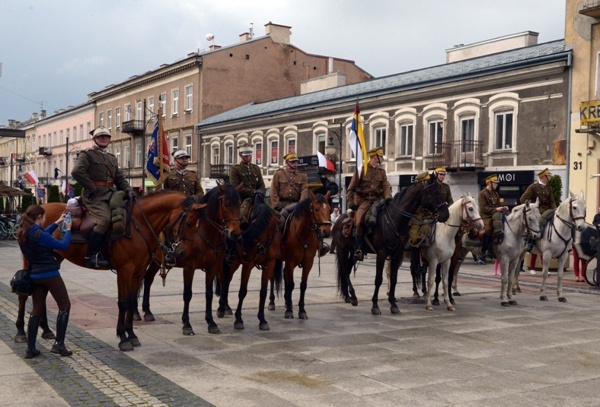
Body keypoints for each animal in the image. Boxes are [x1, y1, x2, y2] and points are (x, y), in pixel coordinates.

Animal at [15, 193, 204, 352]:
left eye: (198, 225)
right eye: (188, 222)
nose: (181, 253)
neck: (138, 225)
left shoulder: (138, 272)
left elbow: (131, 301)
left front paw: (131, 334)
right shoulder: (125, 270)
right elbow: (123, 303)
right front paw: (123, 338)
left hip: (53, 259)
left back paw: (46, 330)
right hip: (30, 261)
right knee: (24, 294)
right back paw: (21, 332)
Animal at [137, 186, 240, 336]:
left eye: (239, 204)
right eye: (226, 204)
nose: (235, 233)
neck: (205, 233)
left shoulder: (212, 267)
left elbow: (209, 294)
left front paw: (211, 323)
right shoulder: (189, 267)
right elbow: (187, 294)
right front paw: (186, 324)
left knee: (148, 279)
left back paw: (147, 311)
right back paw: (135, 313)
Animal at [218, 200, 282, 332]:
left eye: (255, 241)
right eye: (242, 240)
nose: (245, 256)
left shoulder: (269, 264)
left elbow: (263, 292)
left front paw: (262, 319)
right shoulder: (248, 265)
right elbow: (242, 291)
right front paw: (238, 320)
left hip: (235, 263)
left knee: (227, 280)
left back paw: (226, 307)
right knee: (223, 280)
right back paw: (221, 308)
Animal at [332, 178, 450, 316]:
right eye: (434, 192)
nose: (446, 214)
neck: (394, 219)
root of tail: (340, 218)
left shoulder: (398, 254)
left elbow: (394, 278)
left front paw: (393, 304)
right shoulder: (382, 253)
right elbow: (378, 279)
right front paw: (375, 306)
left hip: (353, 251)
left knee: (347, 269)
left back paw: (349, 296)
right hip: (343, 249)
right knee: (345, 270)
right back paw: (352, 296)